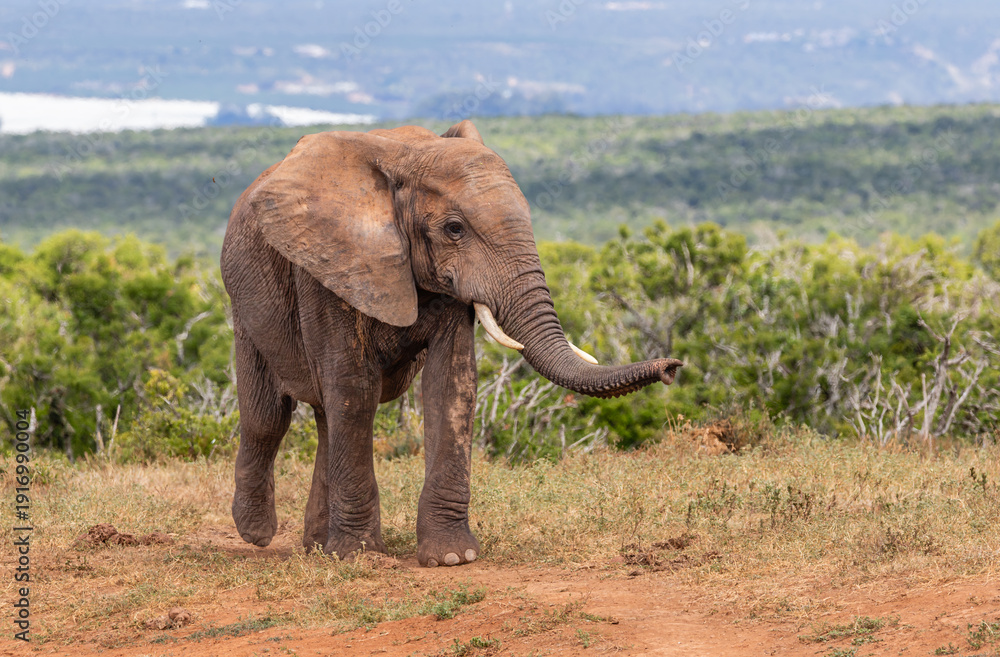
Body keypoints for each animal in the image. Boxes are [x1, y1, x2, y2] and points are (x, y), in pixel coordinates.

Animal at [220, 119, 683, 567]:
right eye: (454, 229)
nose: (672, 368)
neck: (405, 160)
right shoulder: (329, 265)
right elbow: (355, 391)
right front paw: (359, 558)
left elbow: (451, 384)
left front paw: (452, 557)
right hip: (245, 305)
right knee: (270, 416)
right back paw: (257, 532)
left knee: (322, 414)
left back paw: (316, 546)